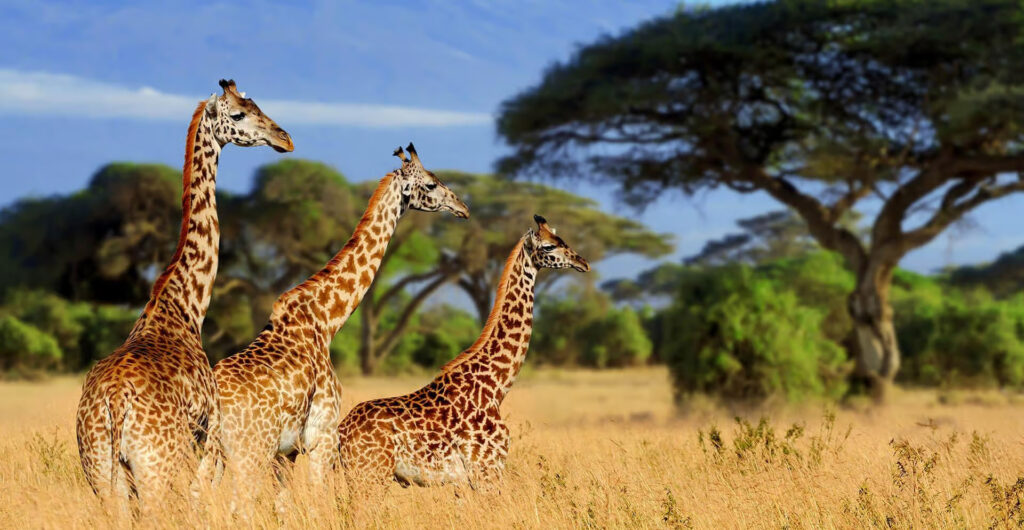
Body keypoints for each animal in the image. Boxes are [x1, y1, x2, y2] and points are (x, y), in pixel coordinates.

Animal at [75, 79, 293, 508]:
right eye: (239, 113)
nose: (285, 139)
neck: (185, 305)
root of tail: (114, 402)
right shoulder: (209, 442)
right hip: (156, 469)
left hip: (101, 473)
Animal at [198, 144, 469, 498]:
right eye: (431, 184)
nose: (463, 207)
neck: (326, 320)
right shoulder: (321, 438)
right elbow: (317, 498)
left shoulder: (287, 453)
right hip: (250, 451)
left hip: (212, 453)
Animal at [337, 215, 589, 489]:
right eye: (549, 247)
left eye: (562, 239)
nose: (583, 263)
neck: (495, 387)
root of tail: (341, 432)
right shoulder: (487, 470)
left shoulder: (465, 482)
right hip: (369, 474)